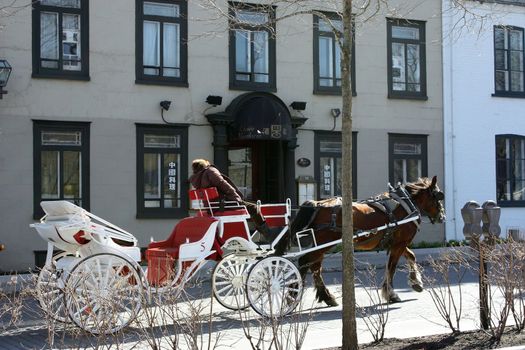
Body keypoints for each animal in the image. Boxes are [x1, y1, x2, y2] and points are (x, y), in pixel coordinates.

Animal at [274, 176, 442, 304]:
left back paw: (325, 297)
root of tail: (318, 204)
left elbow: (411, 256)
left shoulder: (398, 243)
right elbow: (391, 267)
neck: (405, 204)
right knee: (306, 263)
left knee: (314, 267)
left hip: (321, 245)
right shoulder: (399, 244)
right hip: (323, 243)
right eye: (438, 196)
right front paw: (391, 294)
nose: (442, 216)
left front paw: (416, 282)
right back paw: (293, 296)